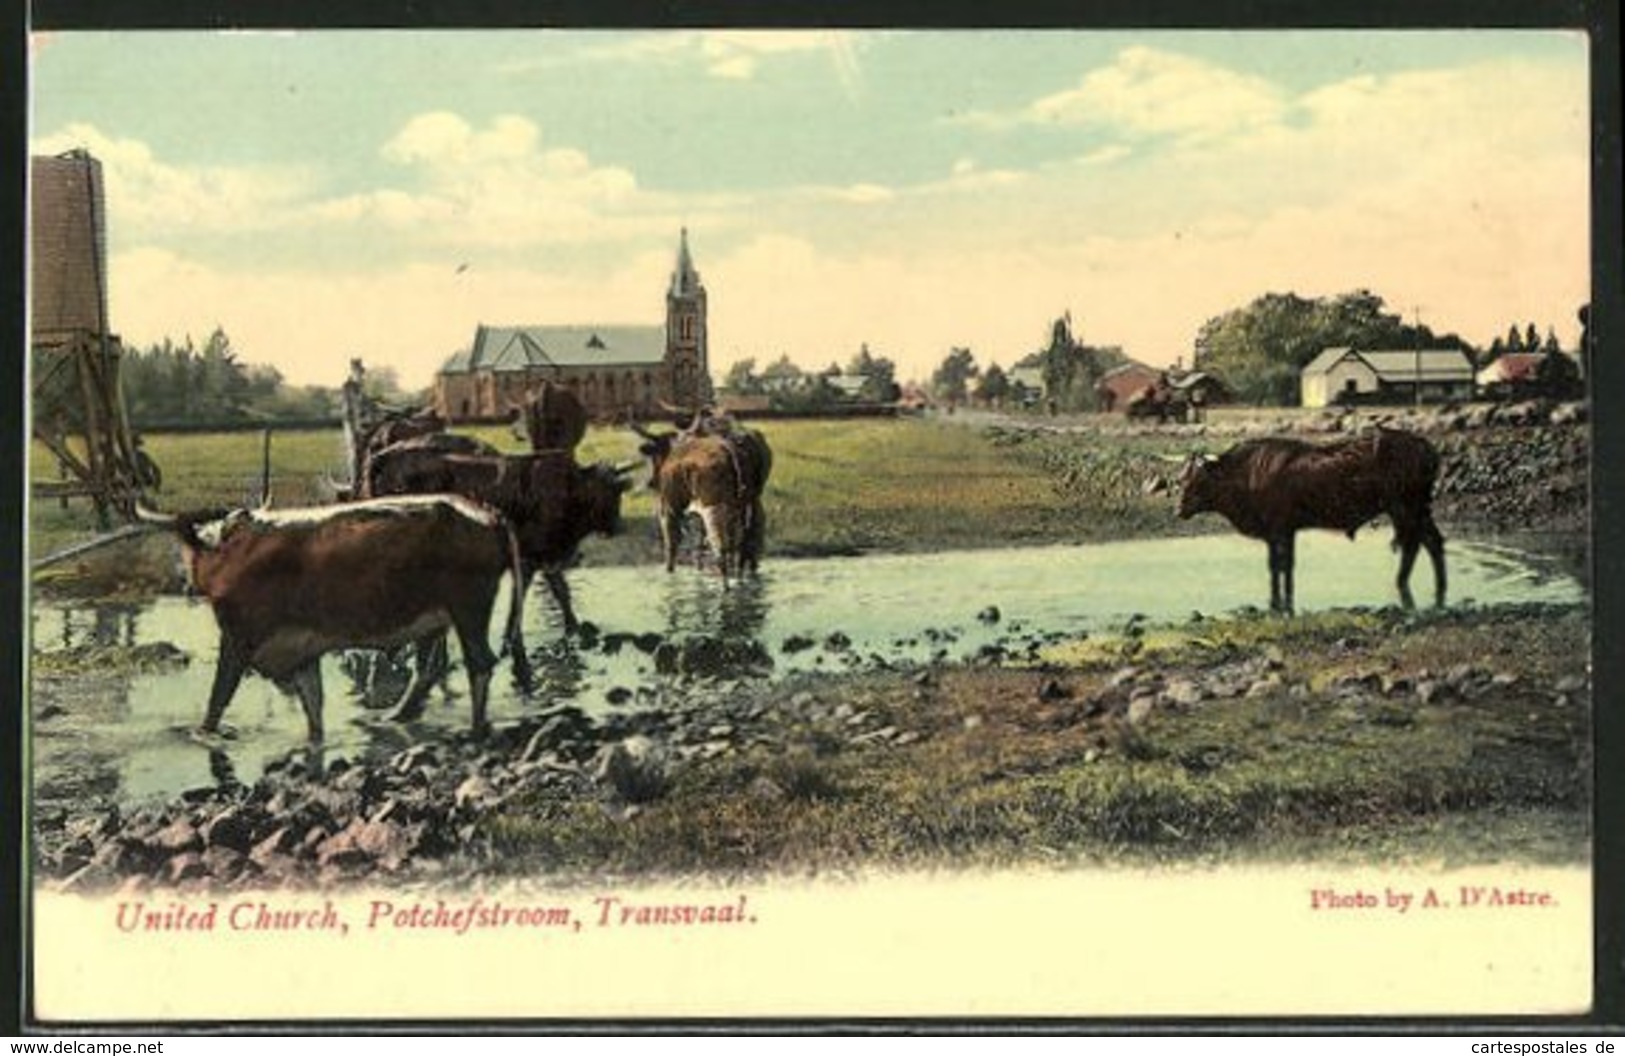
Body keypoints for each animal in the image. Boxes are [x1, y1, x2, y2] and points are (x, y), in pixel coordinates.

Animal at [141, 497, 526, 737]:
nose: (183, 585)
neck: (230, 552)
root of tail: (488, 514)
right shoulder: (300, 650)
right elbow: (313, 706)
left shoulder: (238, 639)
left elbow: (218, 697)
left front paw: (201, 734)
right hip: (434, 619)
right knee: (429, 669)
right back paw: (394, 716)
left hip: (469, 609)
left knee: (479, 663)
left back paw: (474, 729)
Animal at [360, 445, 627, 633]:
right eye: (612, 493)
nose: (618, 527)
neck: (570, 489)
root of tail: (383, 457)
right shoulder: (530, 556)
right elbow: (526, 598)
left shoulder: (545, 557)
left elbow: (561, 590)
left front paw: (574, 627)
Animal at [630, 409, 770, 578]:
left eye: (655, 455)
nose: (651, 482)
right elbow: (699, 540)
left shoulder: (669, 508)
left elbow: (673, 544)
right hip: (750, 499)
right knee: (750, 532)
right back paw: (746, 568)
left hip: (713, 506)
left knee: (721, 540)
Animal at [1183, 425, 1449, 614]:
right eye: (1182, 478)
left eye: (1197, 480)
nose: (1180, 508)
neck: (1247, 474)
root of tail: (1425, 446)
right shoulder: (1281, 531)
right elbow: (1280, 565)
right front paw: (1281, 600)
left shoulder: (1279, 528)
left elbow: (1281, 565)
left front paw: (1281, 603)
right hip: (1415, 510)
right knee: (1432, 542)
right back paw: (1436, 587)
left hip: (1406, 508)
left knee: (1416, 544)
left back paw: (1408, 585)